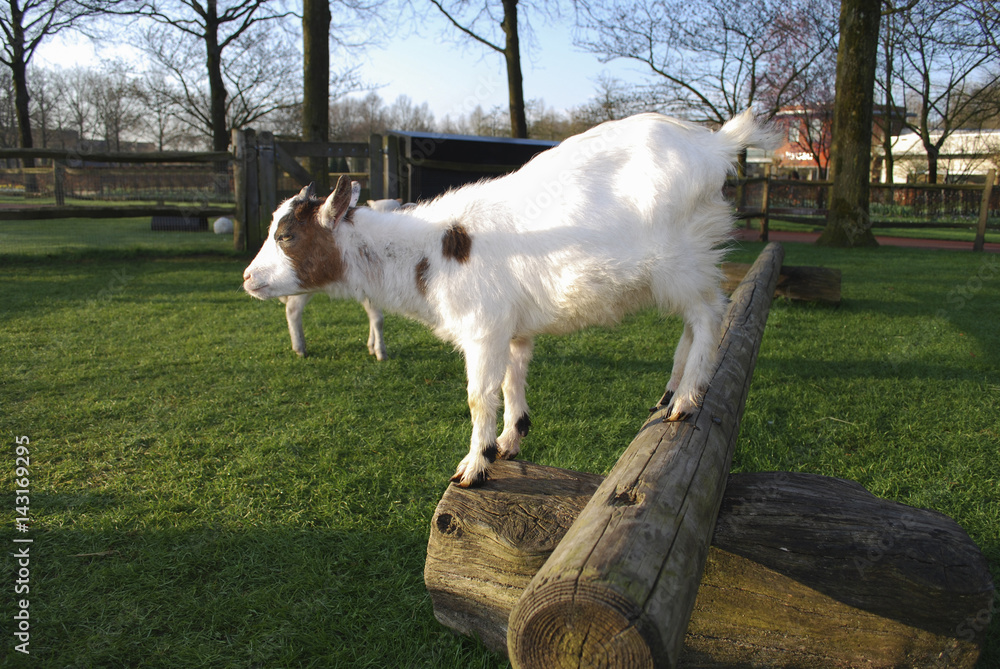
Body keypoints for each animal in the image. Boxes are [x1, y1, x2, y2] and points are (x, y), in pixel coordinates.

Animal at [277, 199, 403, 359]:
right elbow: (378, 319)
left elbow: (373, 317)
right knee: (292, 309)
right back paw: (299, 347)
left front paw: (372, 345)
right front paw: (380, 351)